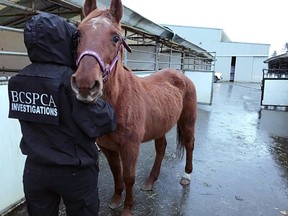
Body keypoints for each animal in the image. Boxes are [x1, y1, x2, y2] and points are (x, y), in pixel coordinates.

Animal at [71, 0, 198, 215]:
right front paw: (115, 200)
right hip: (160, 126)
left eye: (116, 37)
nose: (85, 84)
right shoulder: (107, 147)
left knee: (189, 145)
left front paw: (128, 208)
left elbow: (129, 177)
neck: (118, 101)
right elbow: (116, 173)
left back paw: (186, 177)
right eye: (78, 34)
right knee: (161, 149)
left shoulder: (130, 147)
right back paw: (150, 181)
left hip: (187, 122)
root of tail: (181, 75)